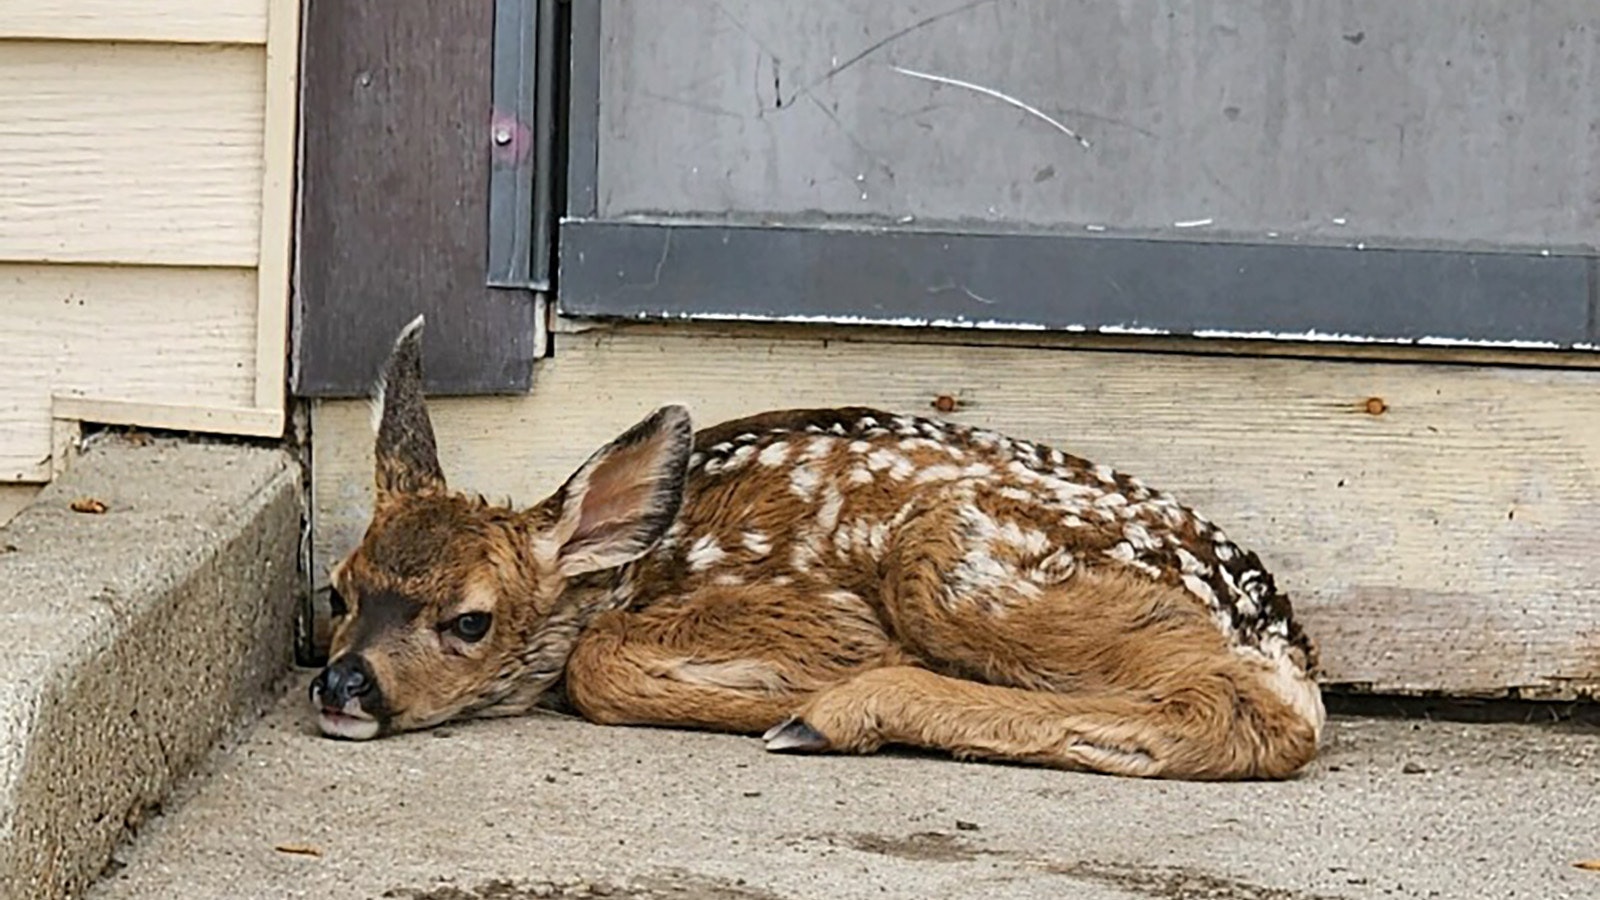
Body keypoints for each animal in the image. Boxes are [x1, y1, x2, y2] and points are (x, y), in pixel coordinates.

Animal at [310, 317, 1325, 780]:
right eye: (338, 592)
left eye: (470, 621)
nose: (342, 683)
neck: (628, 572)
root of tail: (1280, 635)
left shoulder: (826, 613)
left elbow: (595, 664)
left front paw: (789, 693)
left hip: (957, 559)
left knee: (1256, 717)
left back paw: (832, 714)